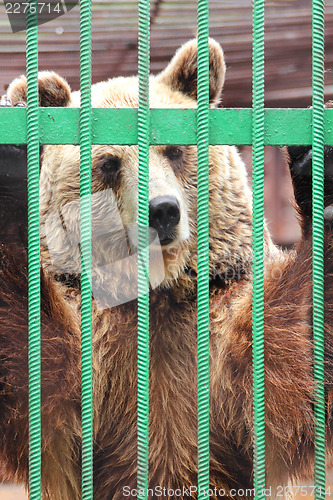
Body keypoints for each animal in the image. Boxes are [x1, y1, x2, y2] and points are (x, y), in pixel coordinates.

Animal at [0, 39, 332, 500]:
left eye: (174, 149)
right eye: (108, 162)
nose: (162, 211)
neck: (159, 295)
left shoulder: (218, 314)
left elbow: (290, 370)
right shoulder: (91, 341)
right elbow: (33, 380)